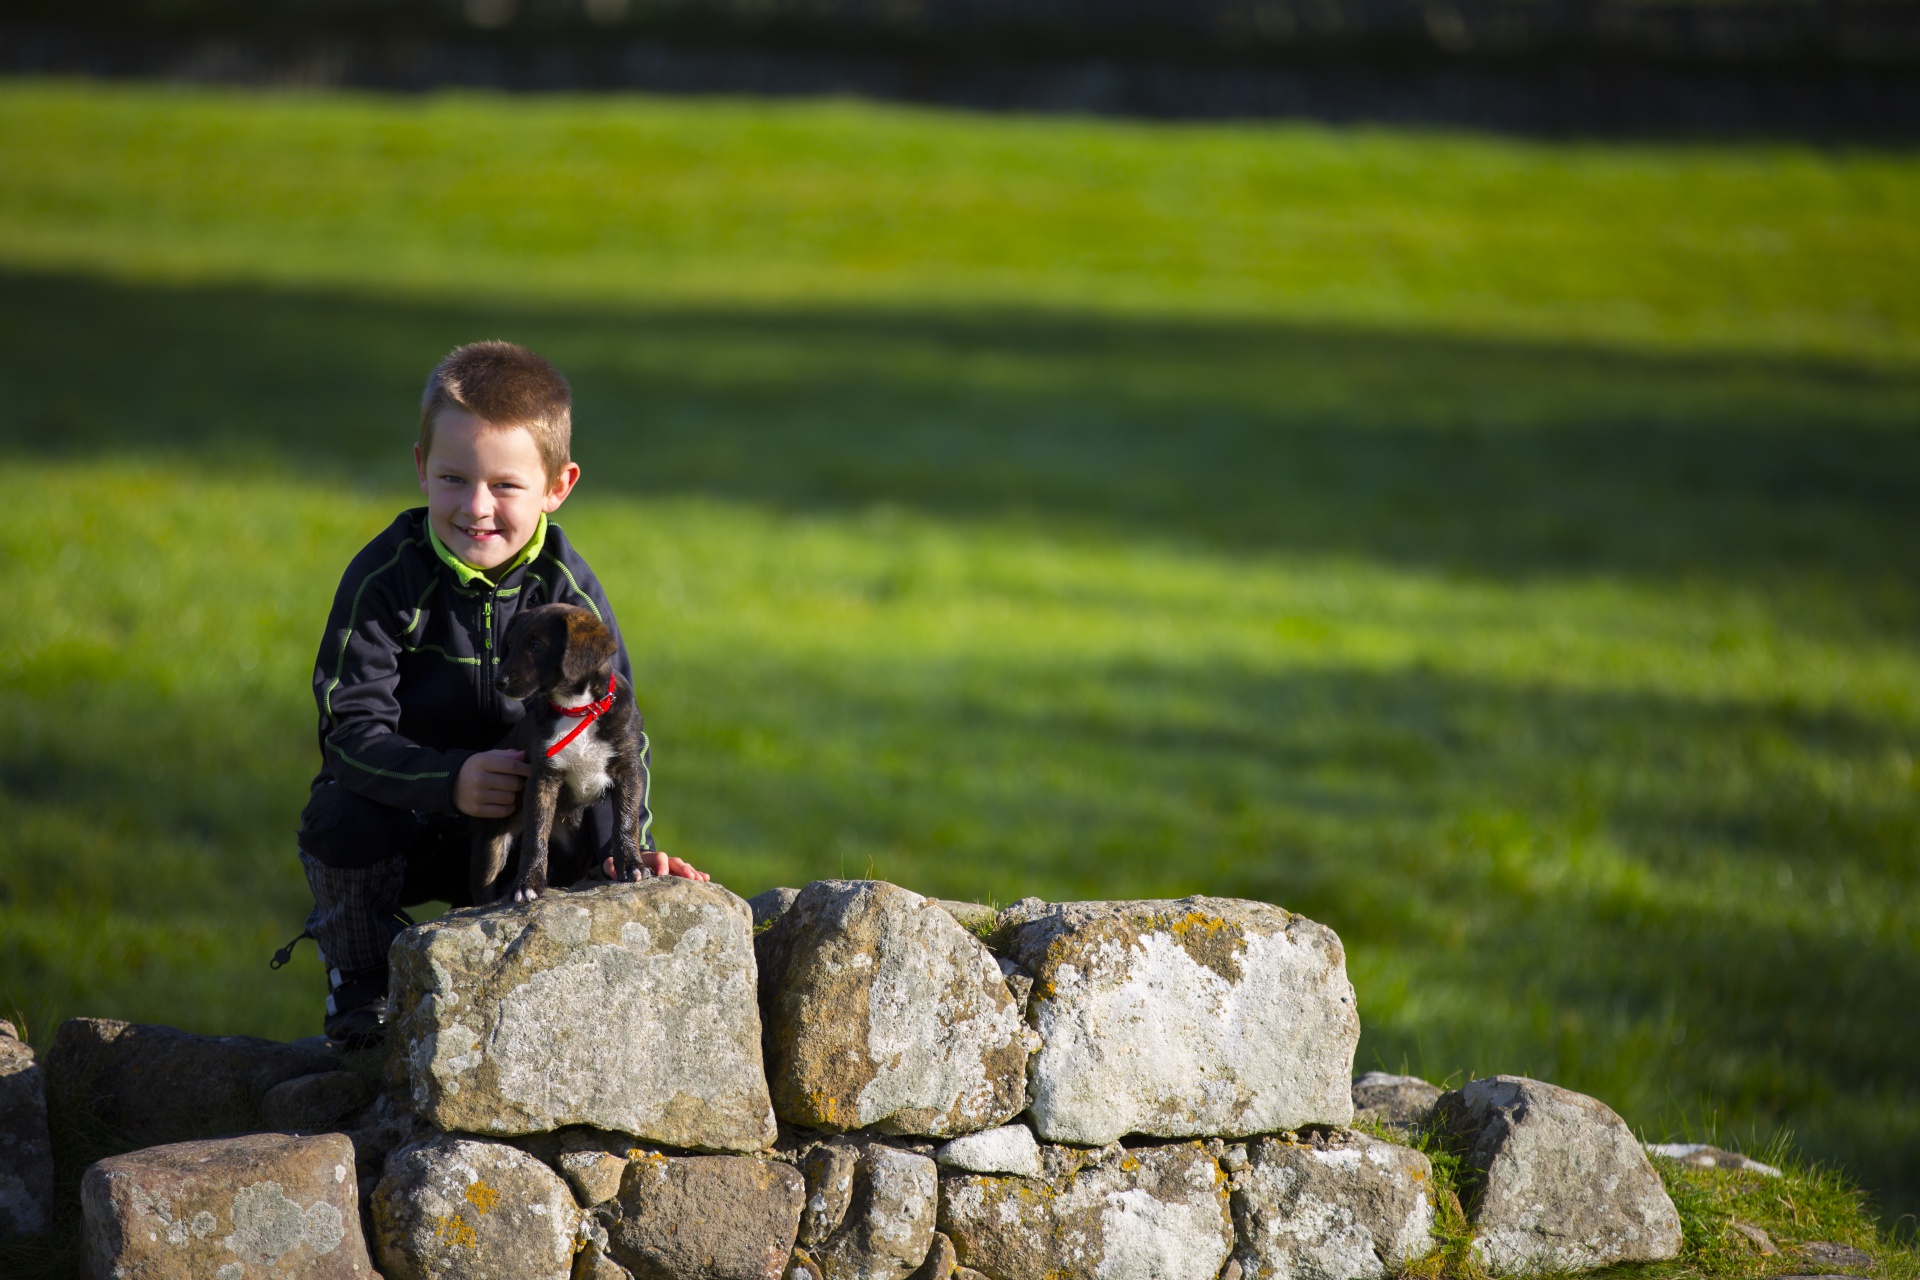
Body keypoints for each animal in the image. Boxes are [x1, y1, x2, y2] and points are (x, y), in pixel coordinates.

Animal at [468, 606, 648, 905]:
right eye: (509, 646)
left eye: (536, 647)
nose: (497, 682)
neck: (578, 708)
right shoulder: (543, 777)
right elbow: (536, 834)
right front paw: (528, 884)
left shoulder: (628, 769)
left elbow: (626, 820)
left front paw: (633, 865)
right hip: (490, 846)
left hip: (576, 851)